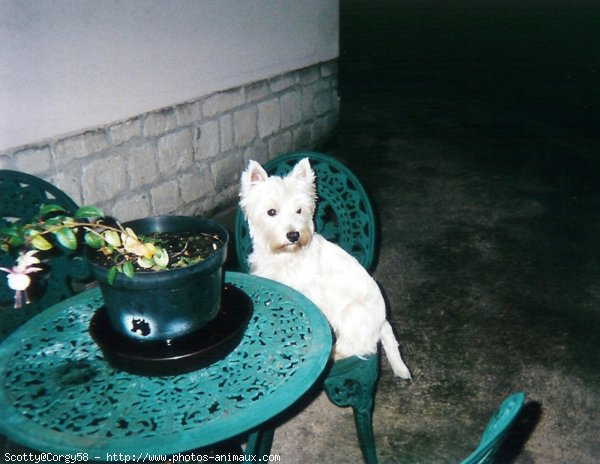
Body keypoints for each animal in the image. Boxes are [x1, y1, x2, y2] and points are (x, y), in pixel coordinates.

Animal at [239, 158, 412, 378]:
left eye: (299, 210)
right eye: (271, 212)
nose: (293, 235)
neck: (285, 255)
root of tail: (382, 321)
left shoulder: (312, 294)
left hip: (353, 312)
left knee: (360, 346)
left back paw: (334, 353)